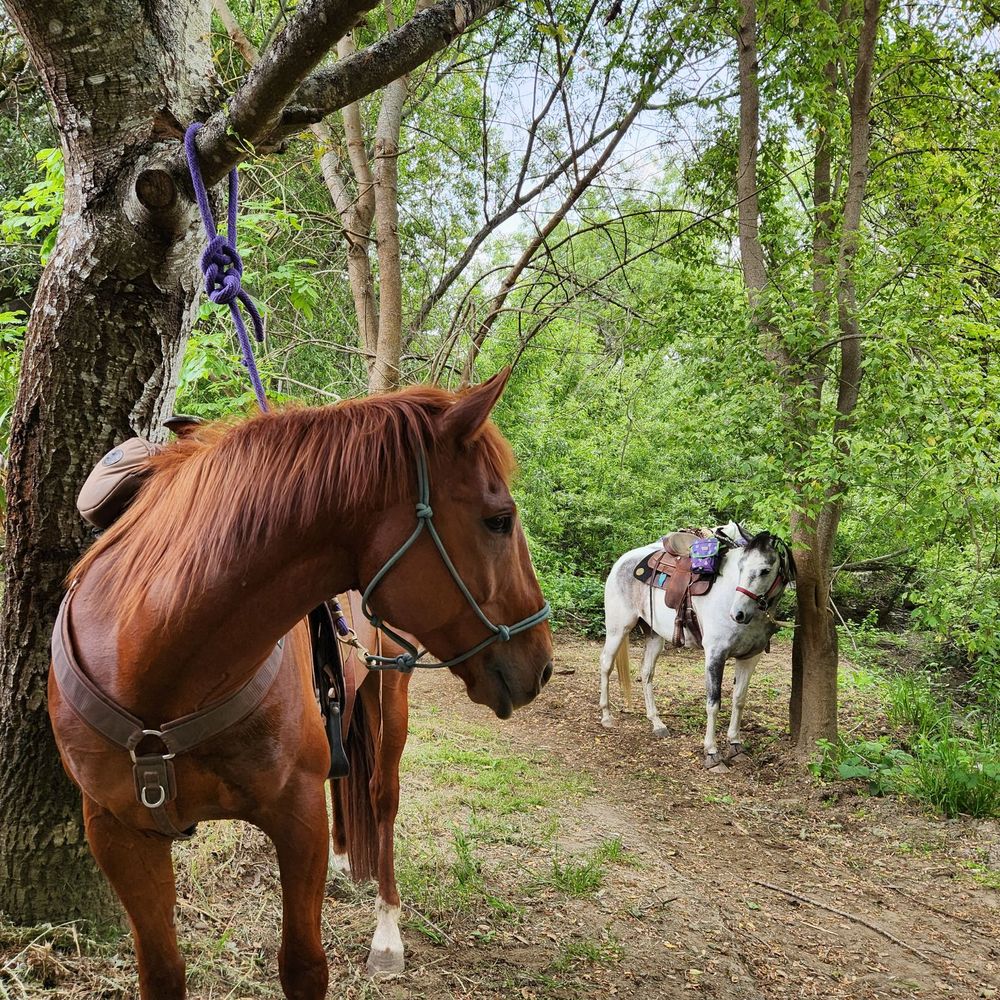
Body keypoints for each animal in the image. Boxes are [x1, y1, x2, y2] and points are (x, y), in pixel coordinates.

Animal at [48, 369, 553, 1000]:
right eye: (499, 519)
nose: (542, 663)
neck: (158, 666)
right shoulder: (117, 833)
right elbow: (161, 971)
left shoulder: (296, 817)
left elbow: (303, 966)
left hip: (390, 698)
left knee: (382, 800)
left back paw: (386, 929)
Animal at [597, 526, 794, 769]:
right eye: (741, 568)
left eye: (765, 570)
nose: (738, 614)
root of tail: (623, 560)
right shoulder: (715, 655)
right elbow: (713, 703)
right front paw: (712, 753)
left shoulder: (750, 657)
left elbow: (739, 699)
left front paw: (735, 743)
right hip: (618, 629)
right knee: (606, 664)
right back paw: (606, 716)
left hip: (654, 635)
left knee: (646, 673)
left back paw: (657, 723)